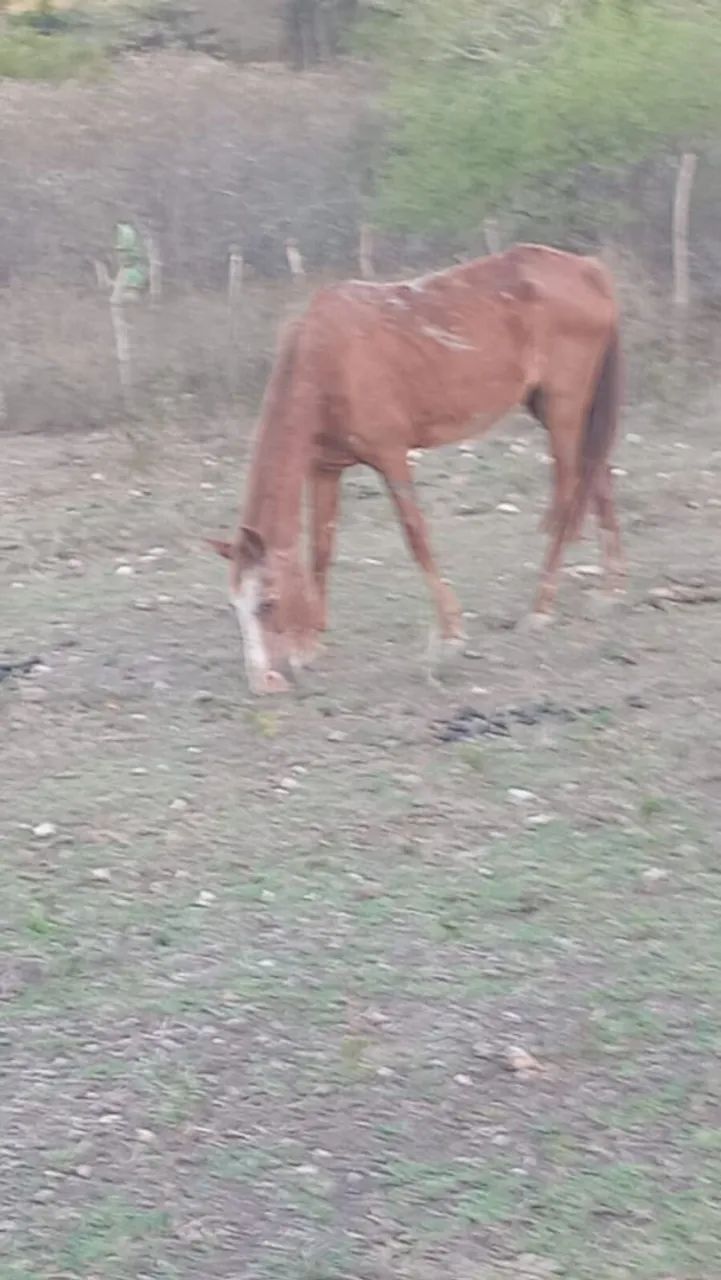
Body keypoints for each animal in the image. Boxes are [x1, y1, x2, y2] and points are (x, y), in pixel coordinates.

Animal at [210, 244, 623, 694]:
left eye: (268, 603)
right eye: (235, 605)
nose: (263, 683)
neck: (327, 357)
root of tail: (587, 269)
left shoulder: (391, 455)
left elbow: (416, 537)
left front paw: (452, 632)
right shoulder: (324, 468)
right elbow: (321, 549)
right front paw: (310, 646)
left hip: (564, 409)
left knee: (569, 493)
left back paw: (542, 606)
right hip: (557, 409)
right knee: (598, 477)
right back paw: (610, 588)